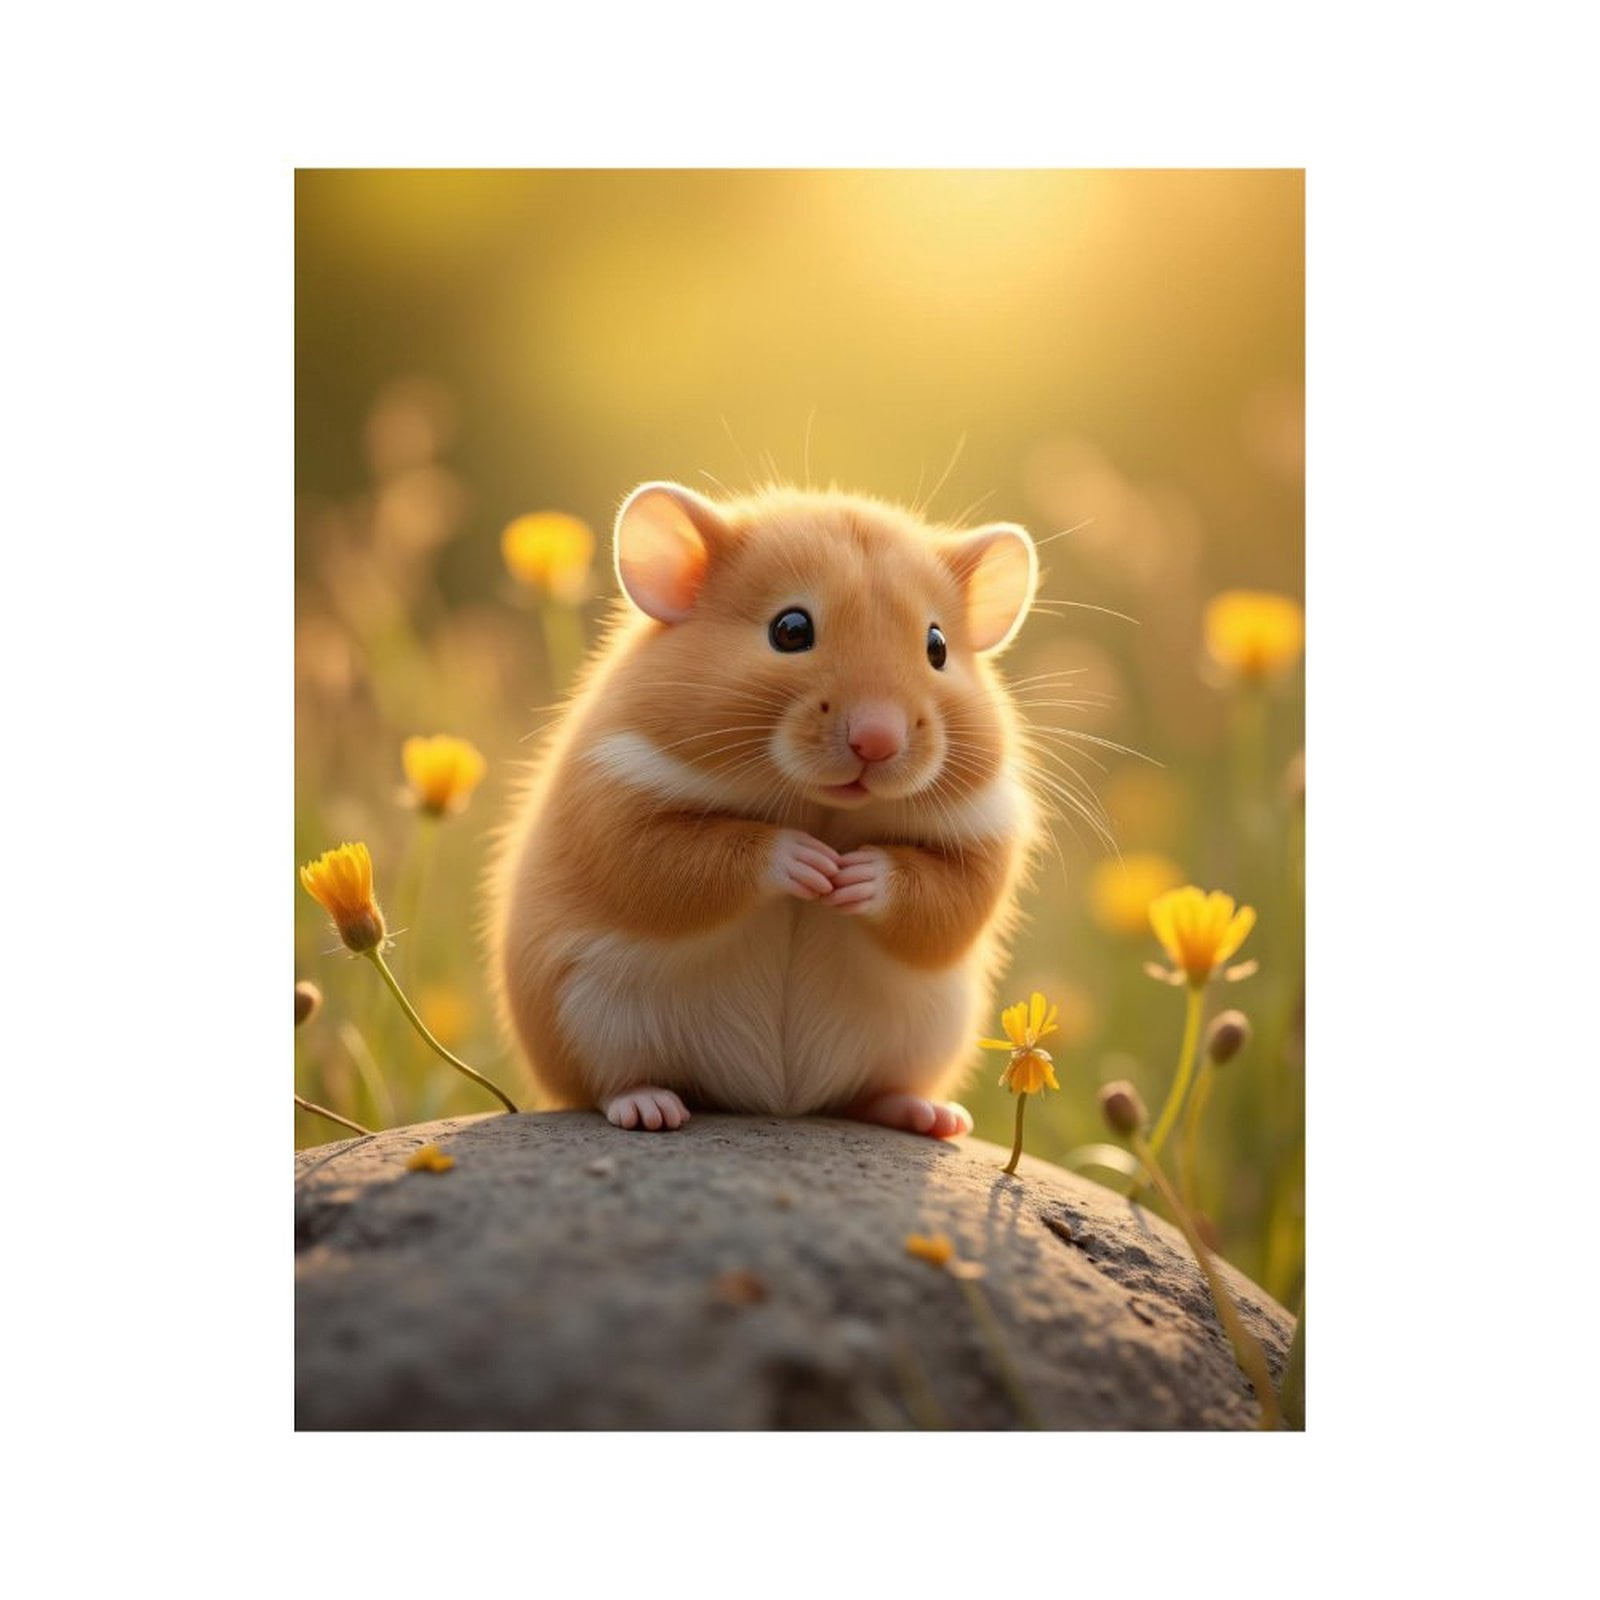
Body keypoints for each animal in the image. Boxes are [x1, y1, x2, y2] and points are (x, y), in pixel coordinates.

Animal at [489, 481, 1039, 1137]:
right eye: (790, 629)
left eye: (938, 647)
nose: (877, 741)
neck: (820, 805)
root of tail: (779, 1099)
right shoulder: (617, 802)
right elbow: (690, 859)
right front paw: (815, 866)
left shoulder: (984, 840)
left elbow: (946, 895)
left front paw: (849, 877)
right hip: (585, 1019)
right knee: (609, 1085)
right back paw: (652, 1109)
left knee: (869, 1095)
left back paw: (935, 1118)